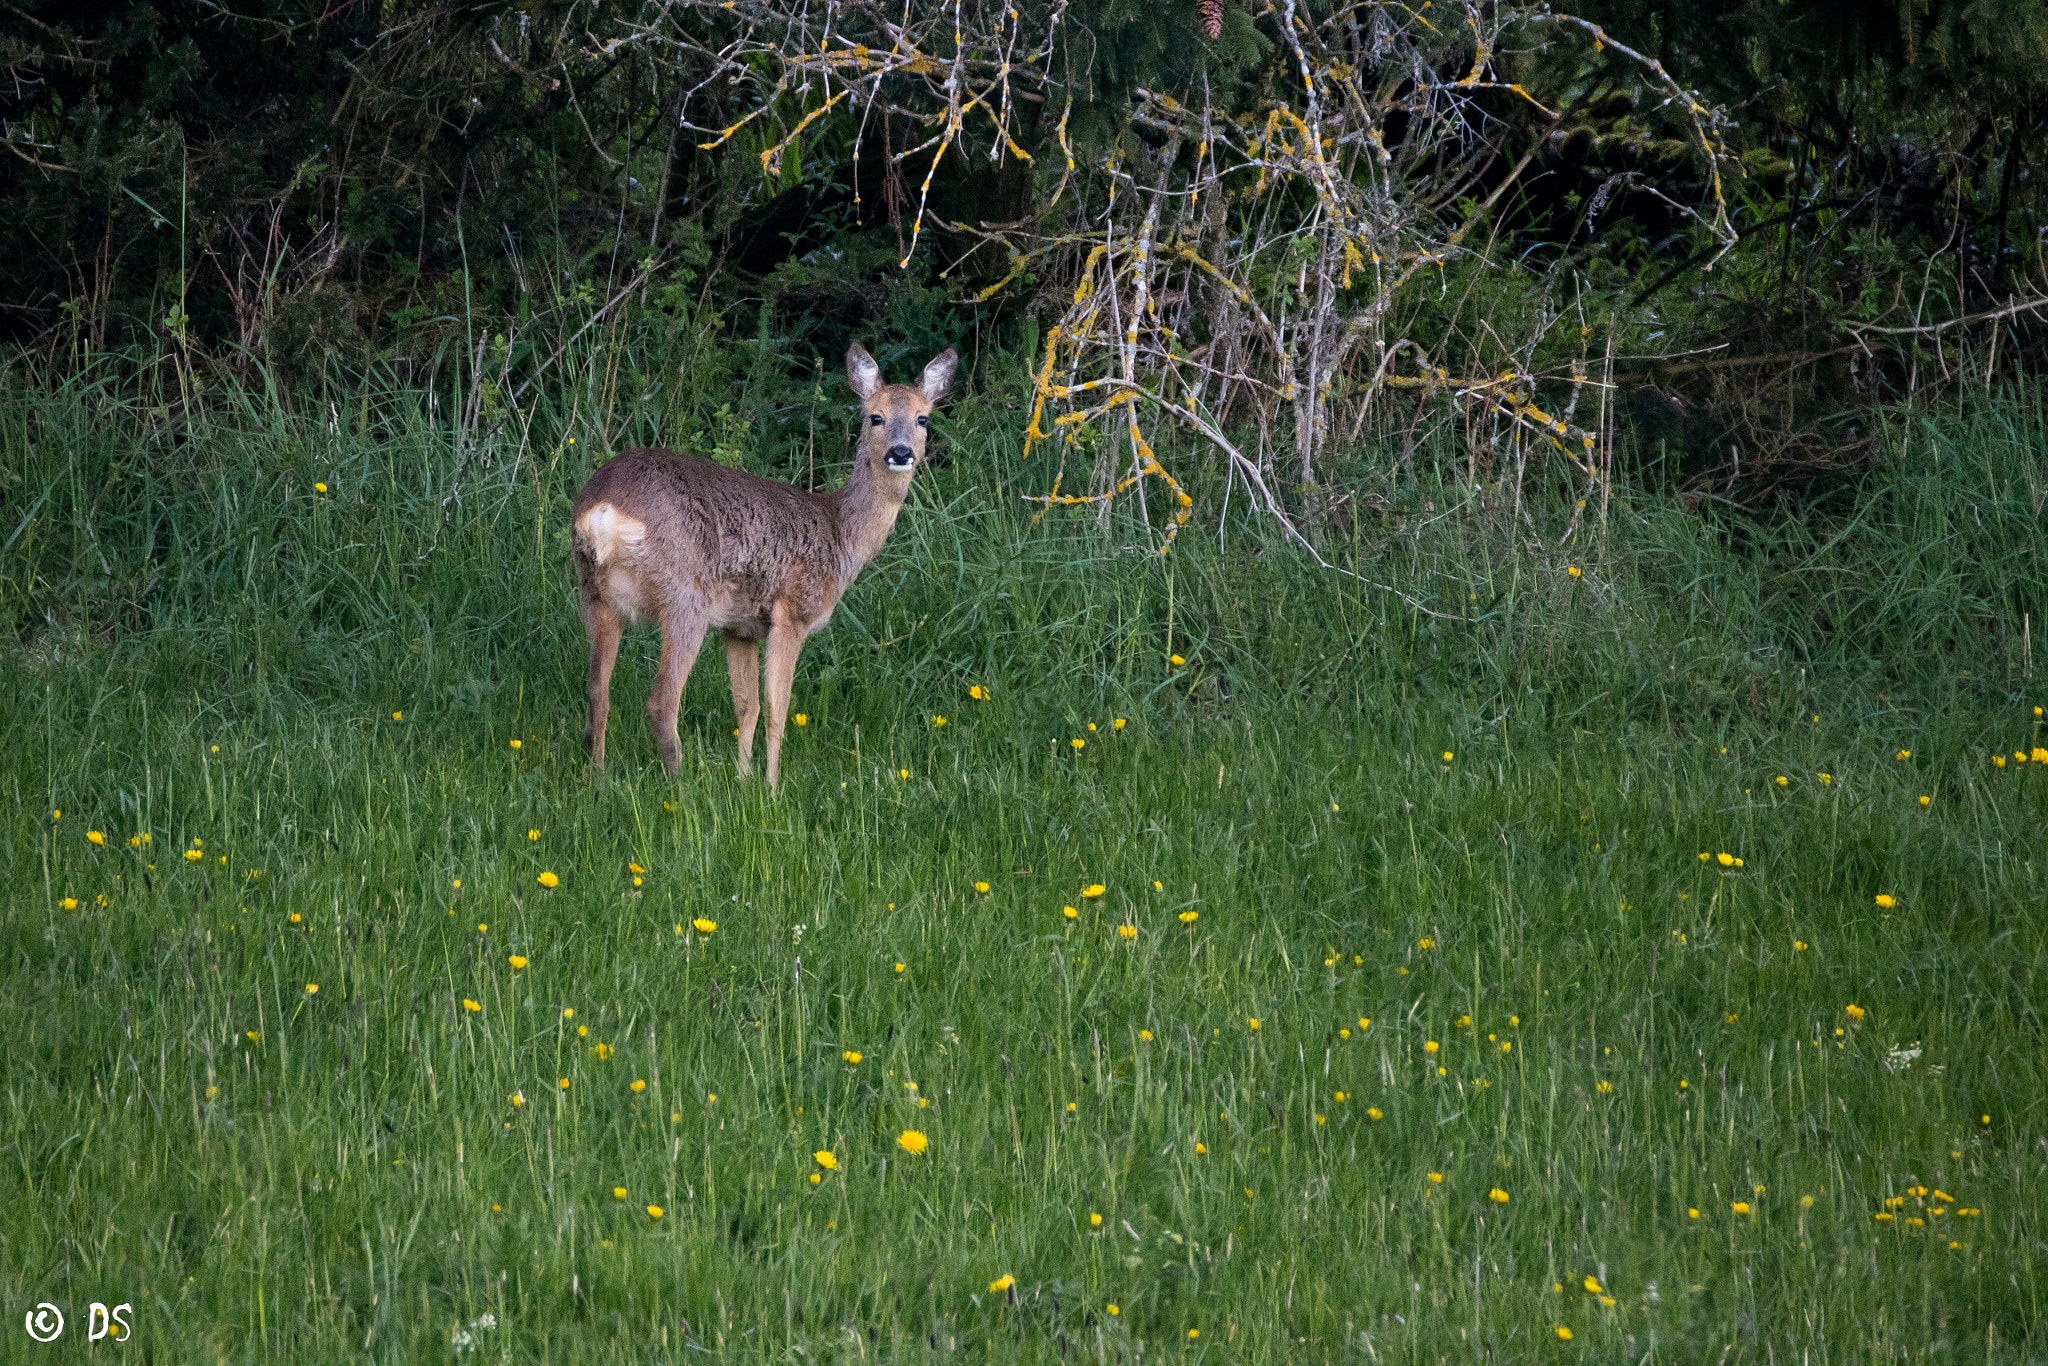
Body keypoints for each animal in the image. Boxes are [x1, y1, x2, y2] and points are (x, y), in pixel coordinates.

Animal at [569, 342, 957, 789]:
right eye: (874, 416)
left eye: (923, 418)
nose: (901, 453)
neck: (840, 534)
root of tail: (601, 510)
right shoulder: (793, 613)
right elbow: (777, 709)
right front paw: (771, 788)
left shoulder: (740, 627)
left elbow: (746, 706)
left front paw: (742, 779)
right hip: (685, 596)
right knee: (661, 701)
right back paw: (681, 788)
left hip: (595, 593)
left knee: (597, 693)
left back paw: (597, 779)